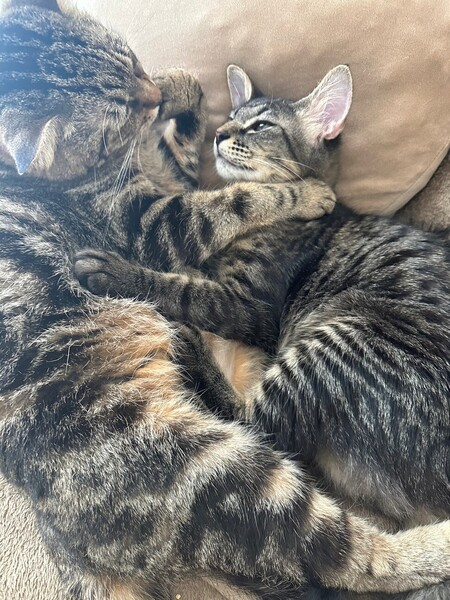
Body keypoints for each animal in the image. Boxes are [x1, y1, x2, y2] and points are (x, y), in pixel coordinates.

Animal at [75, 63, 450, 546]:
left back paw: (189, 344)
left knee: (257, 425)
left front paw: (119, 273)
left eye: (260, 126)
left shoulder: (248, 306)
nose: (220, 133)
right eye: (232, 117)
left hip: (345, 337)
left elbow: (183, 286)